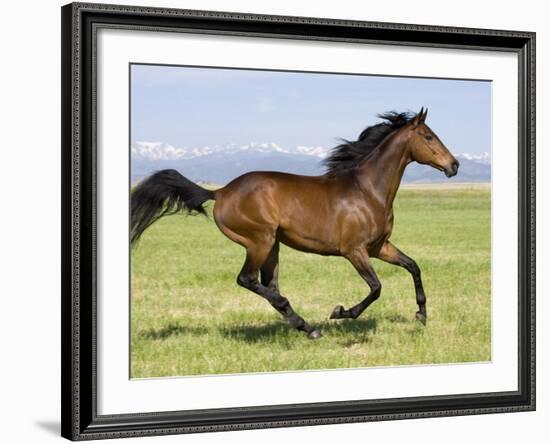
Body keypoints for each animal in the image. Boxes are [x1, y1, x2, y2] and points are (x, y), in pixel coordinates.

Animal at [130, 108, 462, 340]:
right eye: (429, 136)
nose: (454, 165)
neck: (367, 190)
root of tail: (221, 192)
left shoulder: (379, 247)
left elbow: (413, 266)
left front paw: (421, 314)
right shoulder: (354, 251)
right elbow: (376, 287)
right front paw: (341, 312)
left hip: (273, 245)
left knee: (268, 284)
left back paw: (302, 325)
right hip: (259, 241)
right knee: (247, 280)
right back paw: (307, 325)